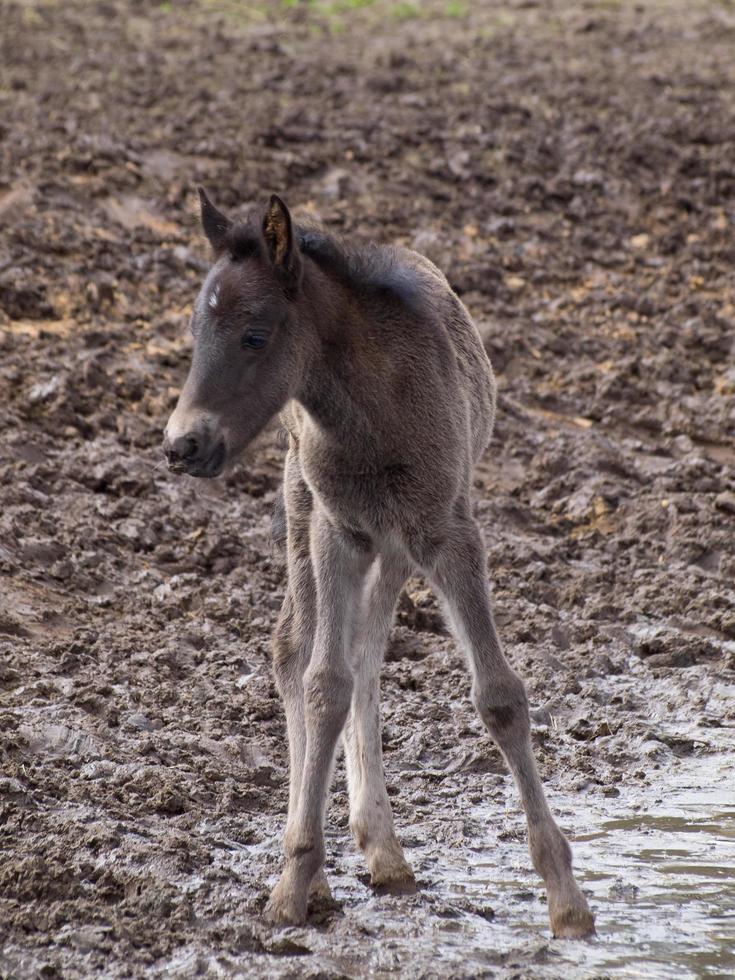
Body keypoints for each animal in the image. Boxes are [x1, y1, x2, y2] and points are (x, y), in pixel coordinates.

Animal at [164, 188, 596, 936]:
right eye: (195, 332)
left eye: (254, 335)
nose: (183, 445)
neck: (373, 409)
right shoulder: (338, 529)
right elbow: (323, 684)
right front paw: (293, 883)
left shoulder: (447, 532)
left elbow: (498, 694)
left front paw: (566, 899)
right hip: (304, 501)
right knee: (294, 646)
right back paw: (325, 872)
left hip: (392, 544)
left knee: (367, 649)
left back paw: (383, 851)